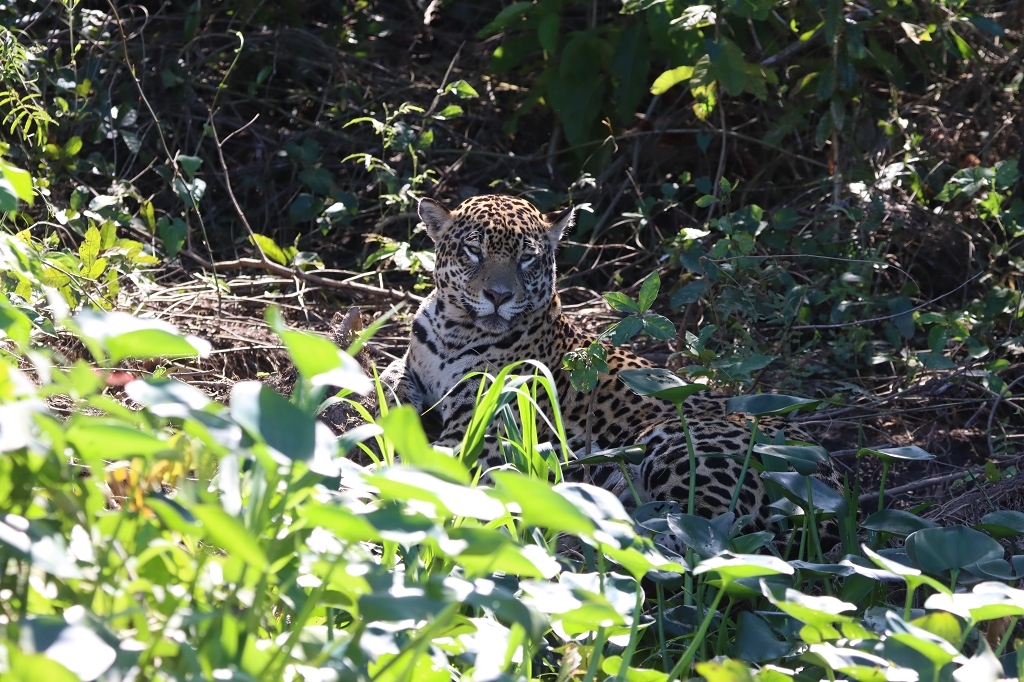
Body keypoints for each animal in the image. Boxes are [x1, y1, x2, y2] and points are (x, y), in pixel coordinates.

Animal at [380, 193, 839, 549]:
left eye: (527, 259)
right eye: (473, 251)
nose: (498, 296)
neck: (454, 329)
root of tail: (831, 484)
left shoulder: (484, 427)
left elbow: (428, 464)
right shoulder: (415, 366)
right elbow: (390, 382)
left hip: (683, 445)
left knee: (705, 537)